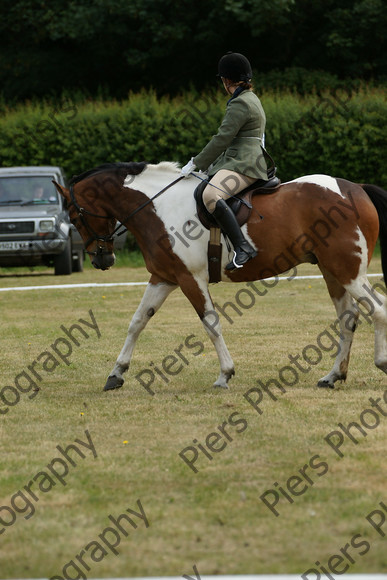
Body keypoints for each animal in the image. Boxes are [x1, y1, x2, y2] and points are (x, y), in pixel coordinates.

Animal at [53, 161, 387, 392]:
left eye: (74, 216)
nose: (101, 259)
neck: (158, 207)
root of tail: (355, 188)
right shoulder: (163, 277)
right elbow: (137, 322)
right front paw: (116, 374)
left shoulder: (190, 279)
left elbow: (210, 323)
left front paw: (225, 375)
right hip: (332, 272)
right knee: (348, 318)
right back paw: (333, 376)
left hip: (348, 271)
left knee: (378, 310)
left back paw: (380, 364)